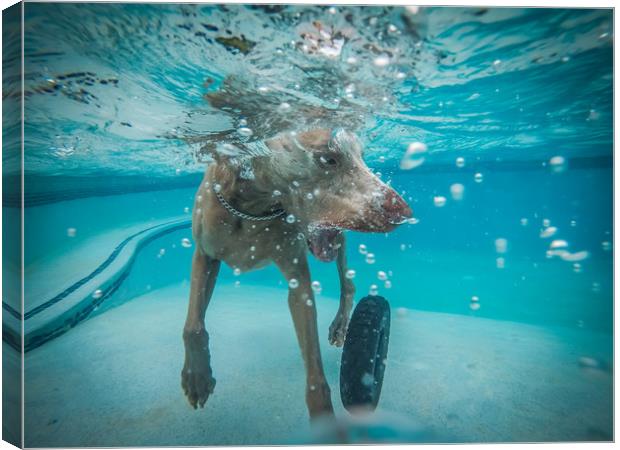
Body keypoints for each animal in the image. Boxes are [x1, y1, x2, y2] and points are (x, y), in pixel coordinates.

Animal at [179, 125, 412, 418]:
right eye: (328, 159)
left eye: (362, 156)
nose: (405, 213)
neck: (254, 208)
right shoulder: (204, 255)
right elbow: (193, 325)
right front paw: (196, 376)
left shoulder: (298, 280)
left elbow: (314, 369)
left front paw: (323, 416)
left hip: (337, 239)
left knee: (348, 283)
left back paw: (340, 326)